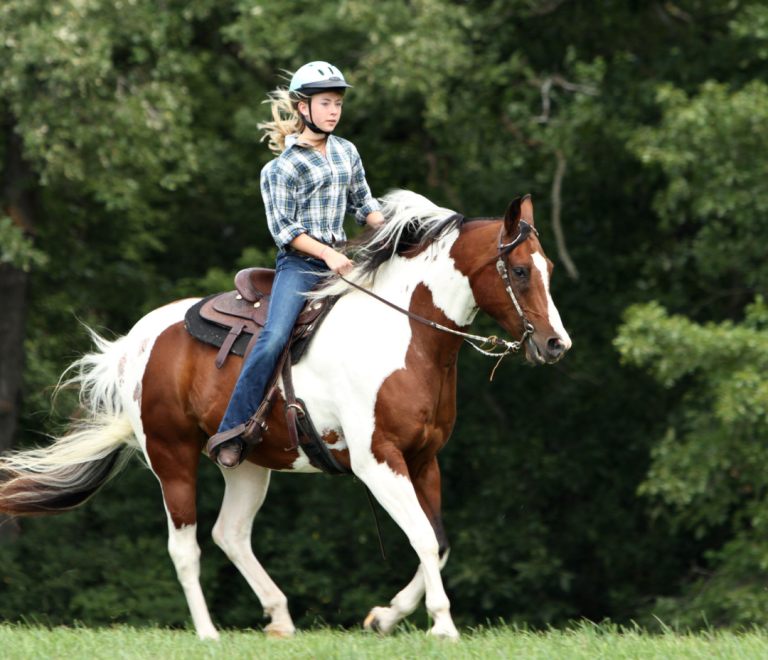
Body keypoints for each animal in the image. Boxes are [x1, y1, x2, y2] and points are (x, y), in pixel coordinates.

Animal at [0, 189, 568, 640]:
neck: (403, 337)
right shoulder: (378, 460)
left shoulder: (424, 459)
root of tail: (136, 342)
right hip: (172, 456)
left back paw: (279, 617)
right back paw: (208, 634)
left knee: (229, 533)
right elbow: (425, 538)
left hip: (245, 462)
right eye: (520, 271)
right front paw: (443, 625)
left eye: (549, 270)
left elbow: (438, 541)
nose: (556, 344)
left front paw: (385, 617)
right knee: (185, 547)